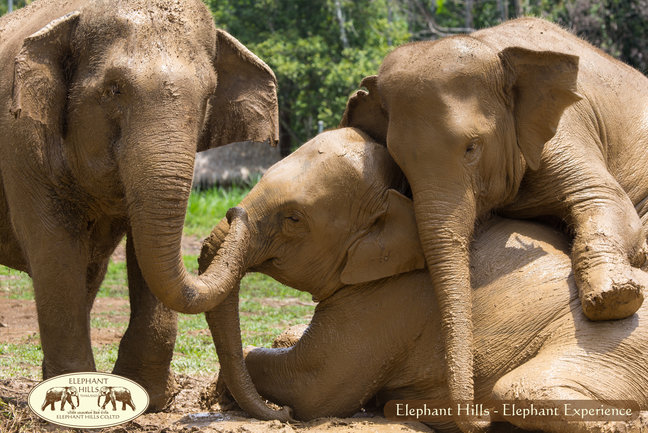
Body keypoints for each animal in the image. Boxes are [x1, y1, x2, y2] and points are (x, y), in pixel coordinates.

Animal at [200, 127, 648, 432]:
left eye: (293, 219)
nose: (282, 417)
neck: (406, 191)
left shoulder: (394, 300)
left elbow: (314, 386)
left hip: (609, 345)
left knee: (524, 389)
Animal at [340, 14, 648, 426]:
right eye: (398, 162)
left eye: (472, 148)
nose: (483, 418)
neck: (493, 50)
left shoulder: (566, 129)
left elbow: (605, 198)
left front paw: (613, 300)